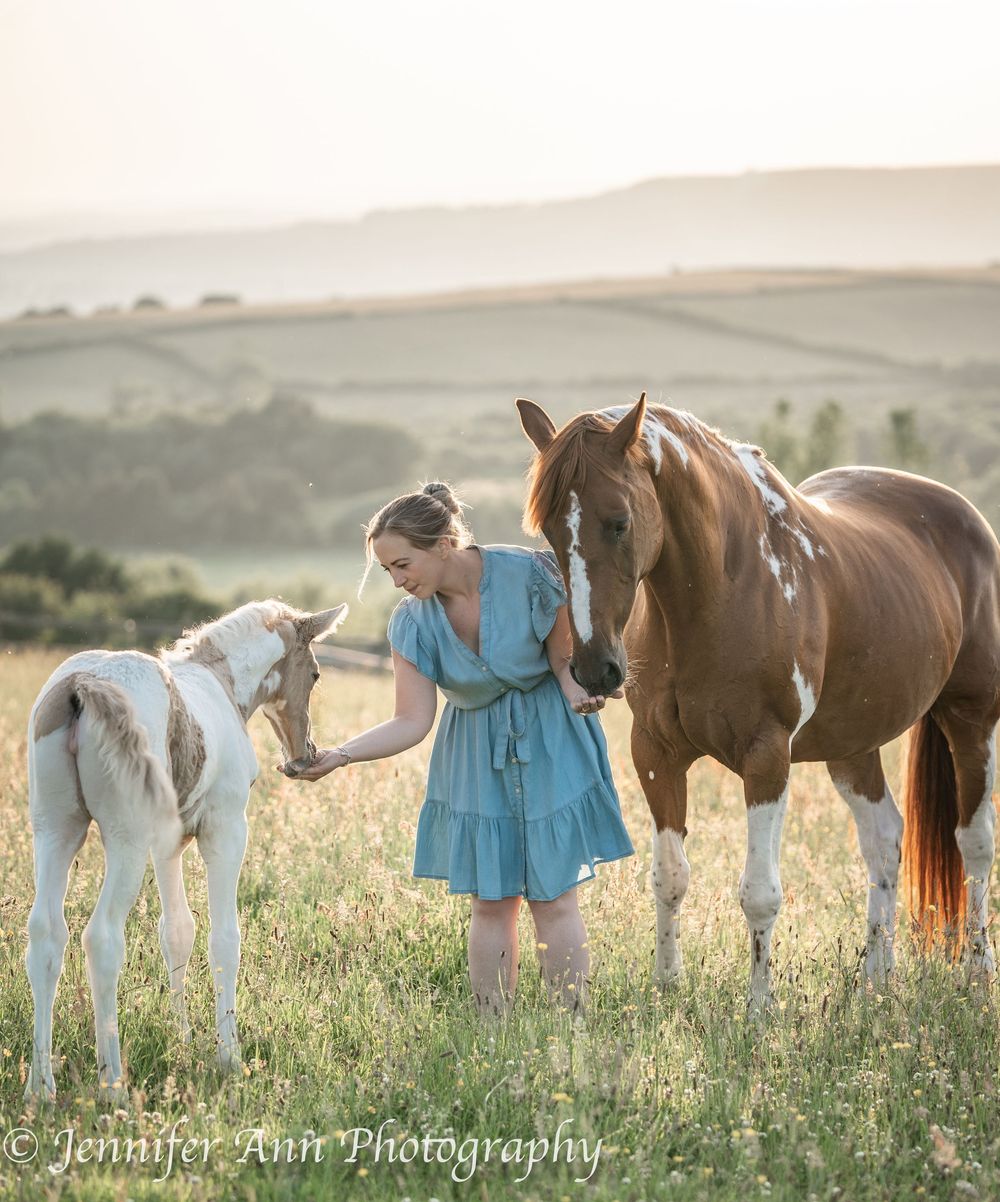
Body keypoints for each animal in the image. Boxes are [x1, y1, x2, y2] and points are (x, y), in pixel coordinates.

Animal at [24, 598, 346, 1102]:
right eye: (314, 674)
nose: (304, 756)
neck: (221, 682)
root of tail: (84, 684)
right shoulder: (226, 830)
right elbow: (223, 938)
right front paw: (228, 1055)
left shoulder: (168, 844)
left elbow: (176, 931)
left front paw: (184, 1039)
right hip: (126, 838)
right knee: (101, 938)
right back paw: (112, 1084)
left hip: (55, 829)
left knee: (45, 935)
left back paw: (40, 1089)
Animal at [517, 393, 1000, 1013]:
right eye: (550, 531)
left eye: (619, 522)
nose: (595, 668)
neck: (722, 589)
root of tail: (966, 516)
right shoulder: (655, 754)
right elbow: (669, 876)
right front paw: (667, 987)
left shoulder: (766, 756)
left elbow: (761, 893)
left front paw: (758, 1009)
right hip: (853, 747)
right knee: (885, 842)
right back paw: (876, 979)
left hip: (970, 719)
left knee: (975, 843)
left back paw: (977, 972)